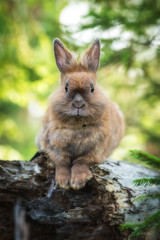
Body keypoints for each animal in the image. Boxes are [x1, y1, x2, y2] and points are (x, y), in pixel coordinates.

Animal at [36, 38, 125, 190]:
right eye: (66, 87)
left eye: (92, 88)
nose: (78, 104)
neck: (77, 126)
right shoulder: (51, 146)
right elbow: (62, 163)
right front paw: (63, 182)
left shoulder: (96, 151)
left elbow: (81, 162)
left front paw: (78, 182)